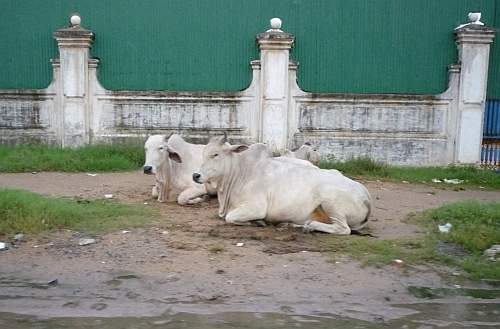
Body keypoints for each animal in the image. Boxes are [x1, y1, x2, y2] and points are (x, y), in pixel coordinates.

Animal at [192, 136, 372, 233]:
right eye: (203, 153)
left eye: (215, 154)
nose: (195, 175)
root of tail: (366, 195)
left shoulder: (255, 207)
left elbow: (230, 218)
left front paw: (258, 222)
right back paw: (291, 224)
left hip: (332, 203)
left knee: (343, 229)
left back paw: (310, 226)